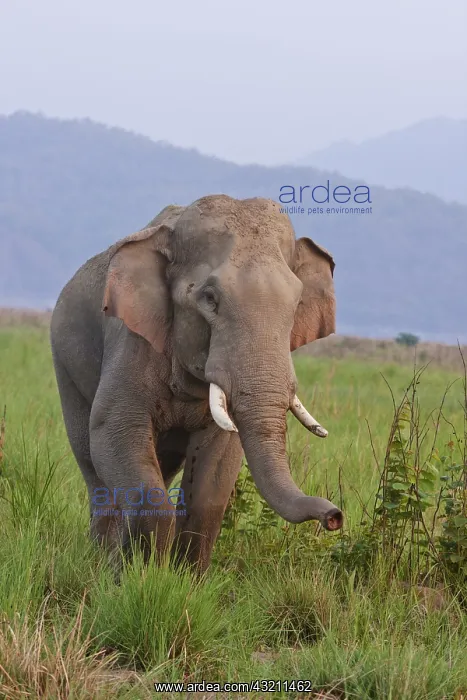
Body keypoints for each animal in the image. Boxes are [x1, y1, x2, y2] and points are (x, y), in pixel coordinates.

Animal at [50, 194, 342, 573]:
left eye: (296, 304)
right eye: (210, 299)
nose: (335, 516)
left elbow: (215, 472)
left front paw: (185, 580)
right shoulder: (131, 340)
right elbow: (114, 430)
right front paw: (139, 577)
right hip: (65, 363)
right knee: (92, 462)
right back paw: (100, 557)